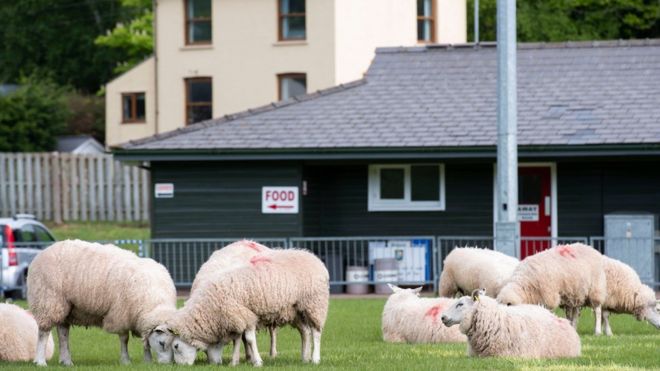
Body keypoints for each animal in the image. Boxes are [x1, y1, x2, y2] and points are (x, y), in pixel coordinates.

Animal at [27, 241, 178, 366]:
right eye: (162, 343)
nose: (167, 365)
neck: (155, 299)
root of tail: (44, 251)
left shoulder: (138, 318)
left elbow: (145, 342)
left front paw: (147, 361)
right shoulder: (121, 313)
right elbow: (124, 339)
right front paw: (126, 360)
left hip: (66, 306)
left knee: (63, 333)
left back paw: (66, 361)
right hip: (48, 299)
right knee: (43, 332)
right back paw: (40, 361)